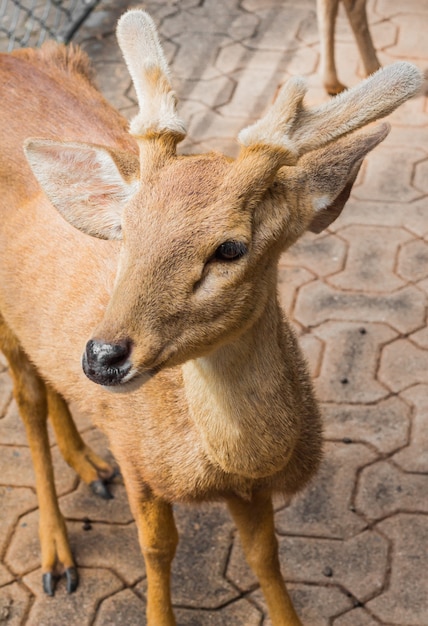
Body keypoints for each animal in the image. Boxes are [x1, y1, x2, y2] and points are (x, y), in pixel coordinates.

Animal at [0, 9, 422, 624]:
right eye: (125, 229)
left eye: (229, 249)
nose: (102, 356)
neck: (223, 463)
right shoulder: (137, 456)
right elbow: (157, 550)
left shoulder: (255, 490)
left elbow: (266, 555)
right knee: (27, 402)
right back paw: (57, 559)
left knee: (48, 385)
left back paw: (90, 468)